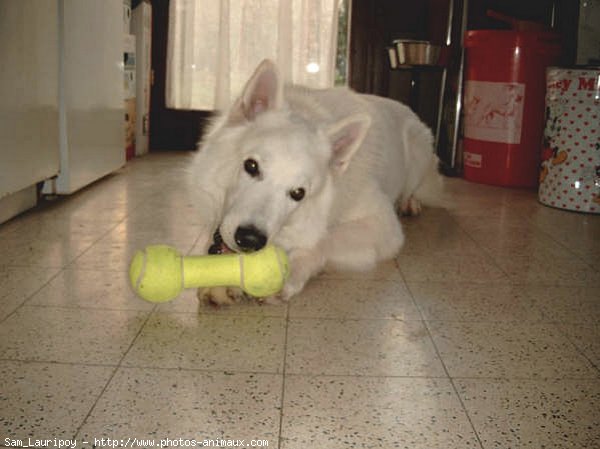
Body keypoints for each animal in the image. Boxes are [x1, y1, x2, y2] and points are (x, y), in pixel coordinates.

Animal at [195, 58, 442, 304]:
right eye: (251, 166)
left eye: (298, 193)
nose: (250, 240)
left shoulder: (384, 227)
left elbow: (323, 239)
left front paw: (292, 270)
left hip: (418, 152)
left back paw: (409, 202)